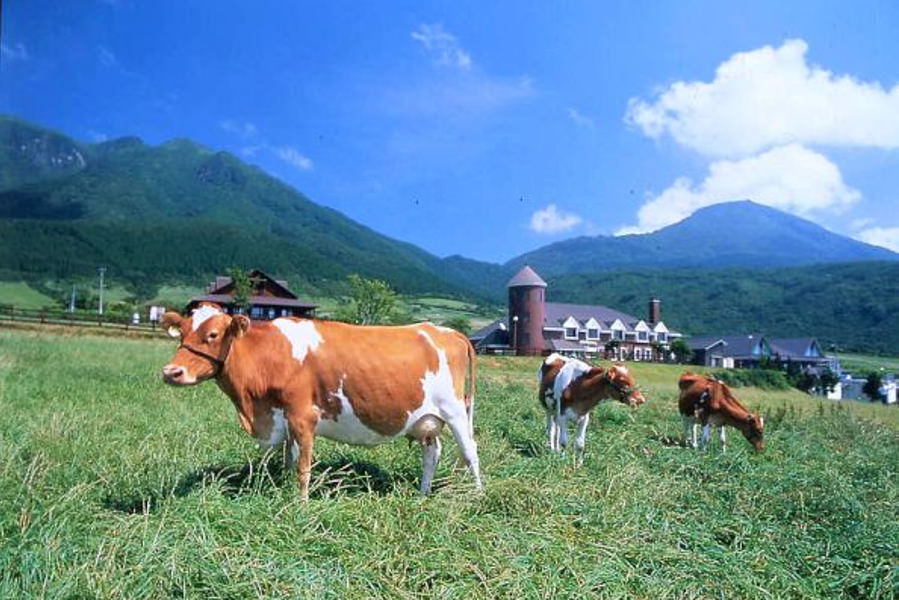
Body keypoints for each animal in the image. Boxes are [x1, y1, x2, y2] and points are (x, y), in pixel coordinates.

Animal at [162, 302, 486, 500]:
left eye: (213, 334)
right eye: (183, 333)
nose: (171, 372)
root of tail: (446, 330)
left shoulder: (302, 416)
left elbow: (303, 467)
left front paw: (301, 505)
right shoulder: (284, 420)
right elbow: (289, 460)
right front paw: (284, 491)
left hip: (455, 410)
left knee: (470, 452)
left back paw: (478, 496)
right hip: (426, 420)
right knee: (432, 453)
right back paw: (422, 495)